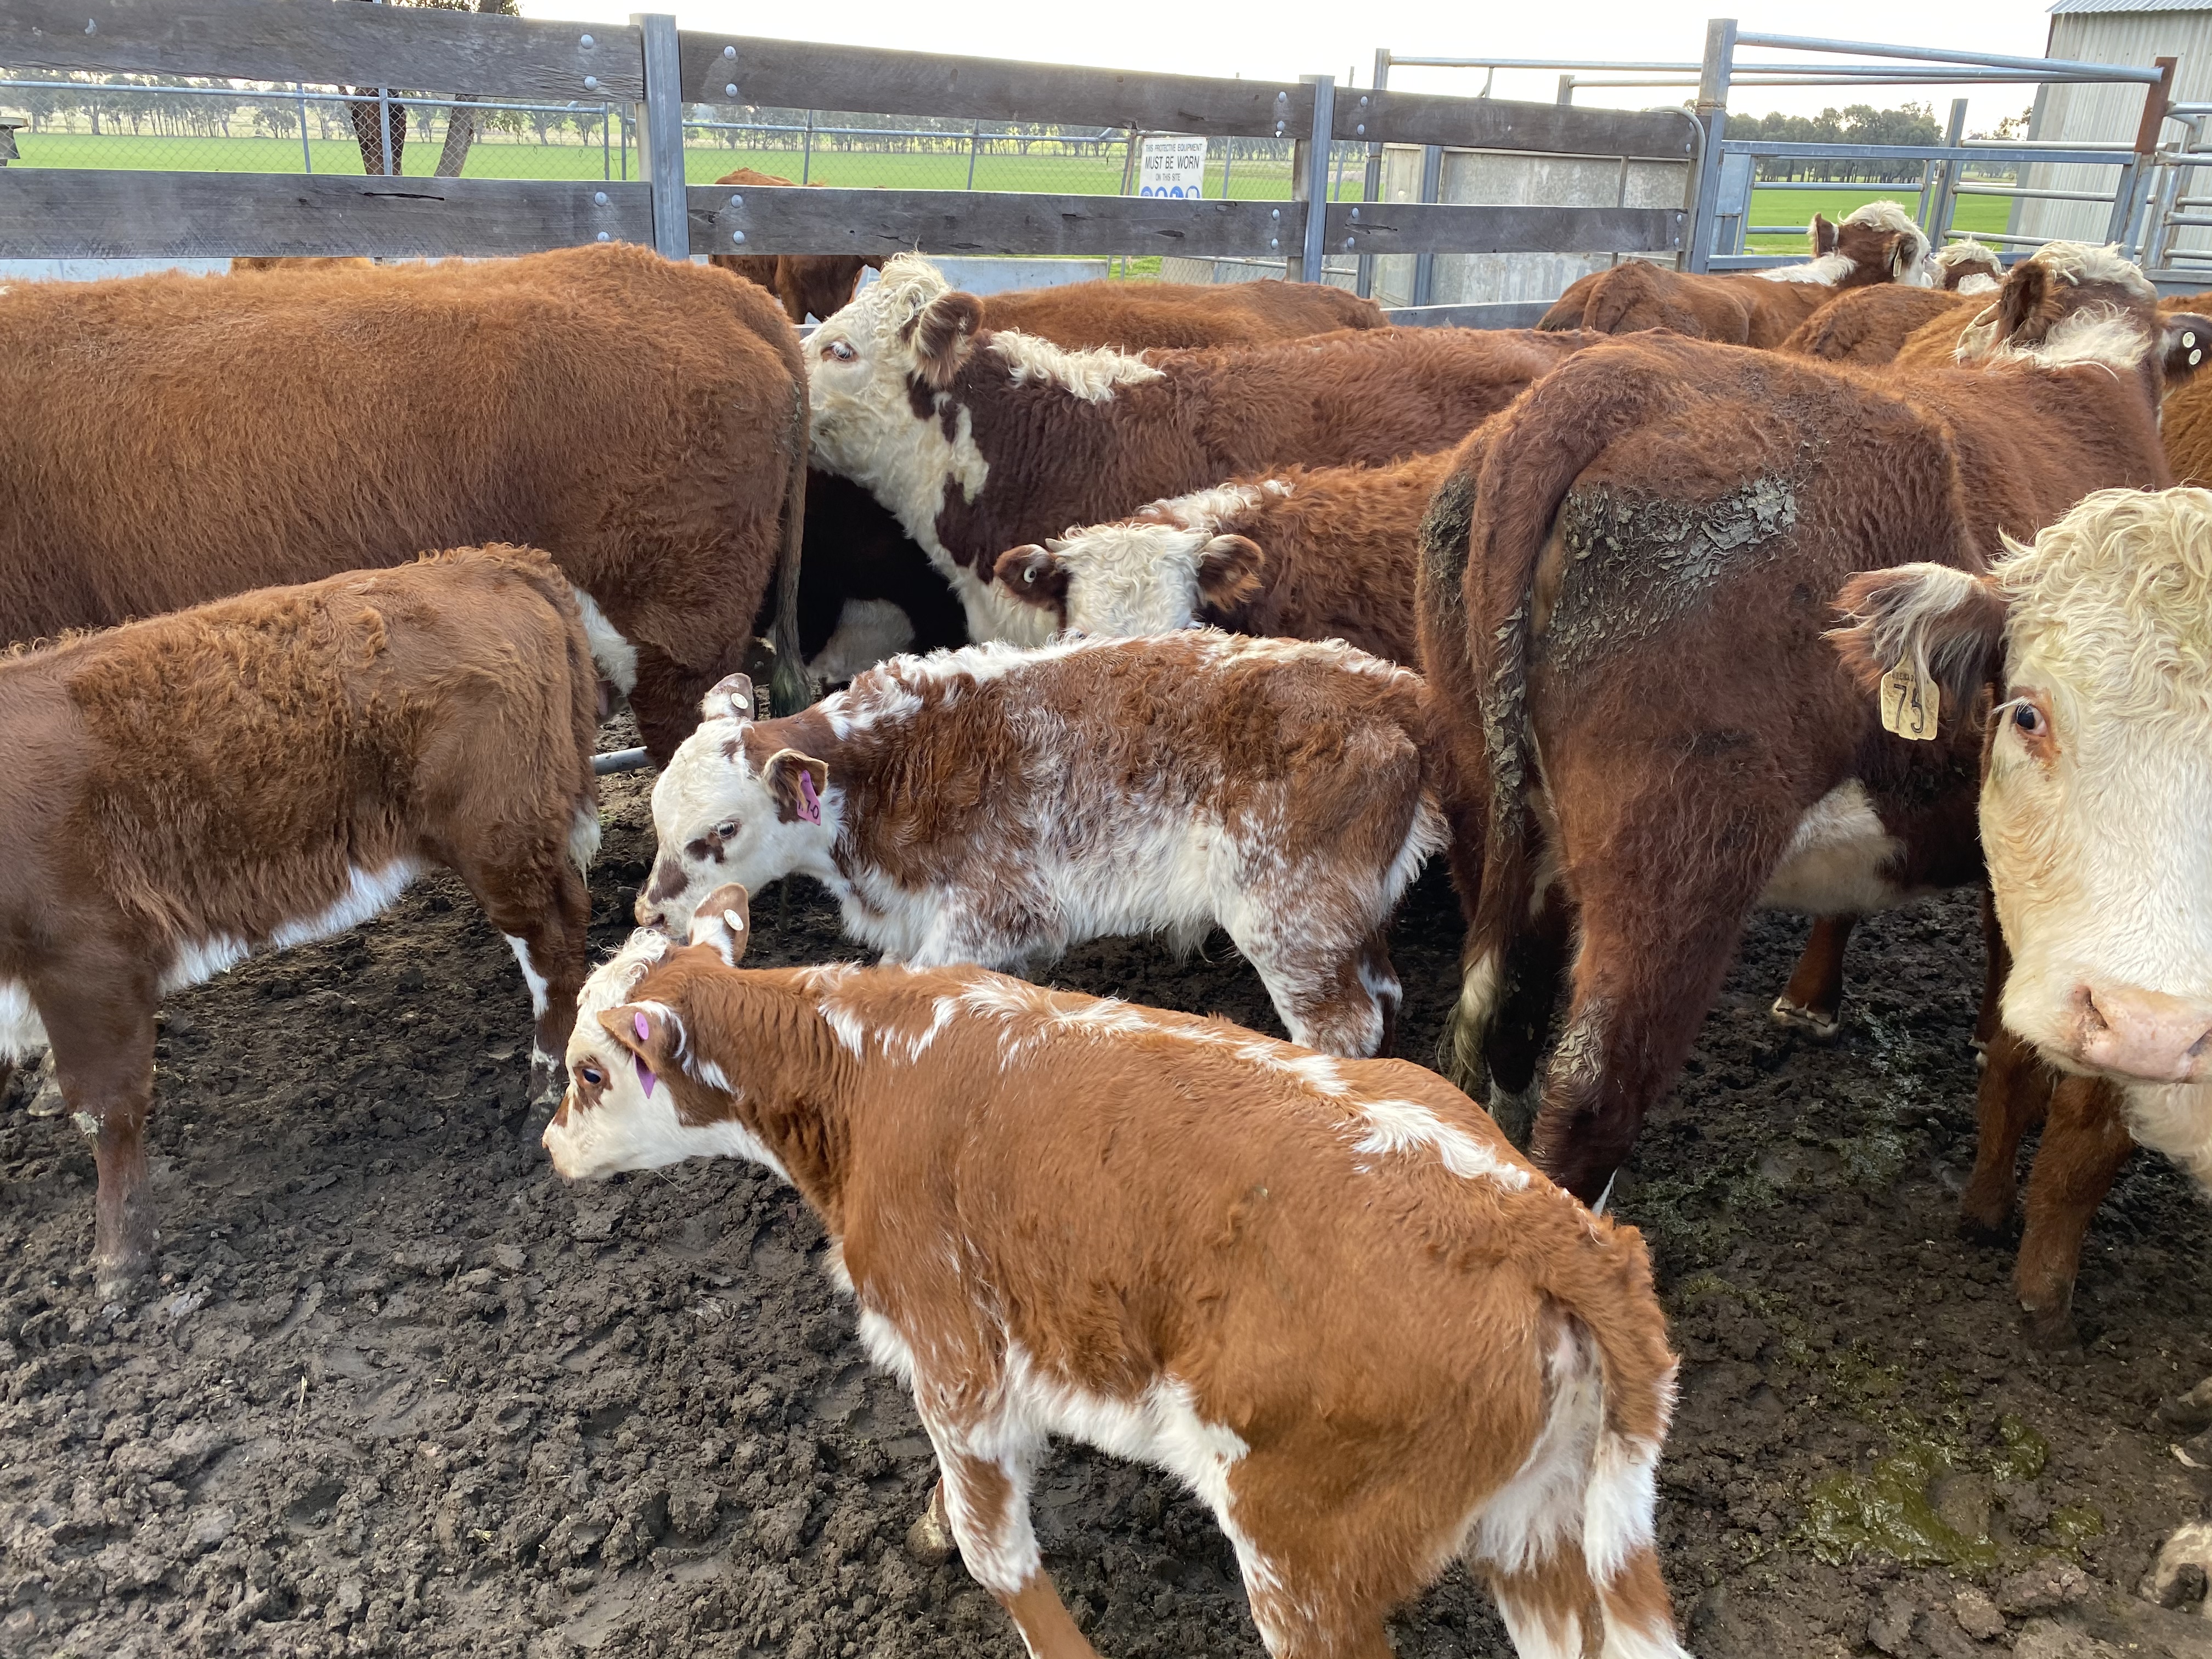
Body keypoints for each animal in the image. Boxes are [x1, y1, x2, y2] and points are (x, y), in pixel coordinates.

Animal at [4, 547, 600, 1298]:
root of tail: (487, 564)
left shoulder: (88, 958)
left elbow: (104, 1110)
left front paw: (120, 1259)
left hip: (501, 841)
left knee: (552, 951)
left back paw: (543, 1093)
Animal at [543, 893, 1689, 1659]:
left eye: (588, 1070)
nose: (550, 1145)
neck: (865, 1064)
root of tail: (1531, 1214)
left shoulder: (954, 1355)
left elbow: (997, 1550)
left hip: (1305, 1549)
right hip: (1537, 1519)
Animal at [634, 633, 1445, 1059]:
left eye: (723, 831)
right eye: (658, 820)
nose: (649, 913)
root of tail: (1390, 686)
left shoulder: (991, 908)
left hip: (1288, 917)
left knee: (1343, 1026)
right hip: (1344, 915)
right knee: (1383, 994)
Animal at [1424, 243, 2210, 1201]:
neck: (2079, 375)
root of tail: (1604, 385)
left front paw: (1811, 1000)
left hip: (1495, 812)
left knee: (1509, 1028)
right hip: (1679, 854)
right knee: (1592, 1096)